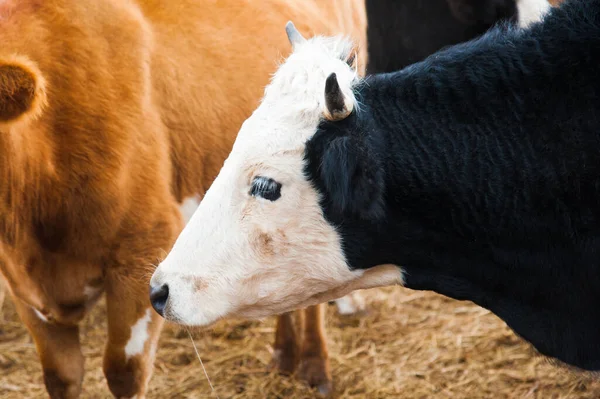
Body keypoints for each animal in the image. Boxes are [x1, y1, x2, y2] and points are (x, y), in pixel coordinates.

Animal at [0, 1, 368, 398]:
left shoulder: (143, 248)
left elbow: (123, 371)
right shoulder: (24, 287)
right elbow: (61, 376)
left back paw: (316, 367)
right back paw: (283, 355)